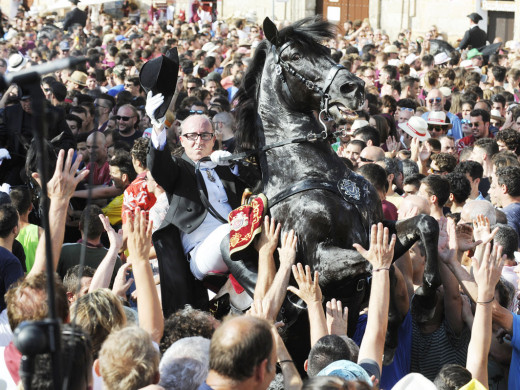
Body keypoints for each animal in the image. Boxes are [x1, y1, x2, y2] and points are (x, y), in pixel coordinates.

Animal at [221, 16, 440, 366]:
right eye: (294, 56)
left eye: (326, 51)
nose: (354, 88)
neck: (310, 169)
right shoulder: (320, 261)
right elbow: (372, 261)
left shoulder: (380, 228)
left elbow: (424, 224)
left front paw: (425, 298)